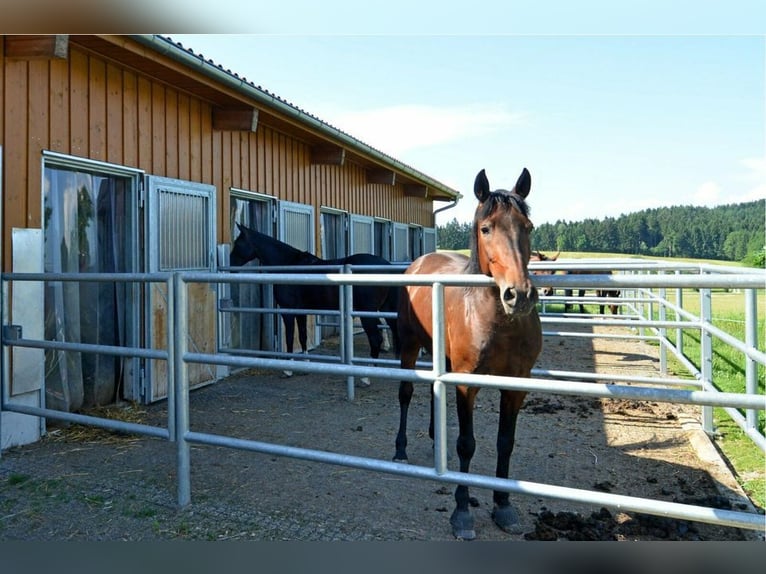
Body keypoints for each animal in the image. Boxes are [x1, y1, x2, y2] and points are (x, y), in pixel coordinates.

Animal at [230, 223, 399, 381]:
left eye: (237, 243)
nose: (230, 266)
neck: (288, 265)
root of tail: (386, 267)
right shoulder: (301, 311)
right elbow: (303, 336)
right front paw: (305, 363)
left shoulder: (287, 310)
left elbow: (290, 337)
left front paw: (288, 369)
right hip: (386, 309)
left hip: (367, 313)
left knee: (376, 339)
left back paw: (366, 376)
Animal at [394, 167, 543, 540]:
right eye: (486, 228)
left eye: (528, 226)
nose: (519, 295)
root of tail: (420, 261)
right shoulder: (466, 383)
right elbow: (466, 443)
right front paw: (461, 512)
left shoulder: (516, 385)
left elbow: (506, 441)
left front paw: (503, 506)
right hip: (408, 344)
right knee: (405, 393)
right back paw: (400, 450)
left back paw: (436, 443)